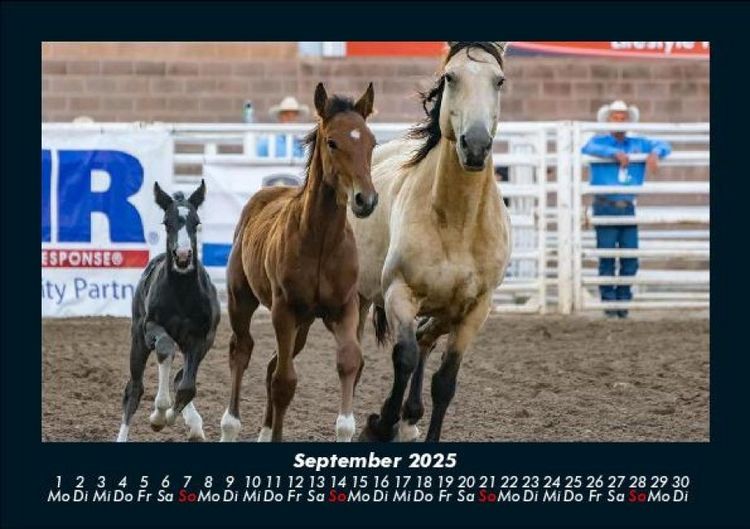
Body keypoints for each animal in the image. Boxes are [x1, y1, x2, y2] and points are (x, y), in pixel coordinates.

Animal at [117, 180, 220, 442]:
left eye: (196, 222)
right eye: (166, 222)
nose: (182, 257)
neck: (182, 294)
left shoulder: (201, 337)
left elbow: (187, 386)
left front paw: (177, 418)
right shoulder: (150, 328)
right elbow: (164, 348)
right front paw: (159, 415)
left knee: (179, 376)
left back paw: (194, 425)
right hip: (138, 341)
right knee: (134, 389)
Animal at [219, 82, 378, 442]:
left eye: (372, 142)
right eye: (332, 142)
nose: (366, 200)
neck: (320, 242)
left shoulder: (344, 309)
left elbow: (349, 361)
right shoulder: (284, 310)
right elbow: (284, 382)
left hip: (303, 324)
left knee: (271, 362)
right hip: (241, 300)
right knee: (242, 350)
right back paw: (229, 426)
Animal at [349, 42, 512, 442]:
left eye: (499, 81)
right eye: (451, 77)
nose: (476, 145)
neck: (457, 222)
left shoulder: (474, 311)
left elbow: (445, 381)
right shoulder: (399, 292)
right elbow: (403, 357)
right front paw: (380, 425)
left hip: (443, 310)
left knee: (425, 338)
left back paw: (410, 417)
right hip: (360, 297)